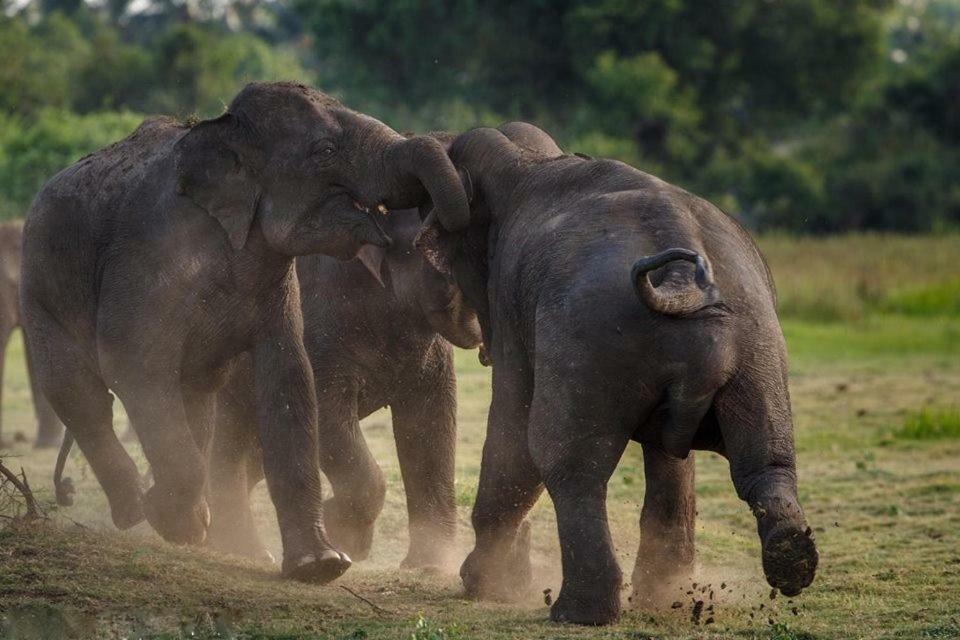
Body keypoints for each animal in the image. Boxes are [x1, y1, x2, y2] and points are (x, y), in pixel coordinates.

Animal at [206, 206, 484, 568]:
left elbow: (429, 427)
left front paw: (431, 567)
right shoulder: (319, 332)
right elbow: (325, 415)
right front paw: (347, 538)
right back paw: (245, 550)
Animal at [412, 122, 816, 624]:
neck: (526, 160)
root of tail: (681, 284)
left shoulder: (508, 298)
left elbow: (512, 427)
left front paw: (479, 585)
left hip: (590, 335)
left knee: (567, 460)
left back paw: (577, 613)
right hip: (757, 347)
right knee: (766, 461)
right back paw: (781, 562)